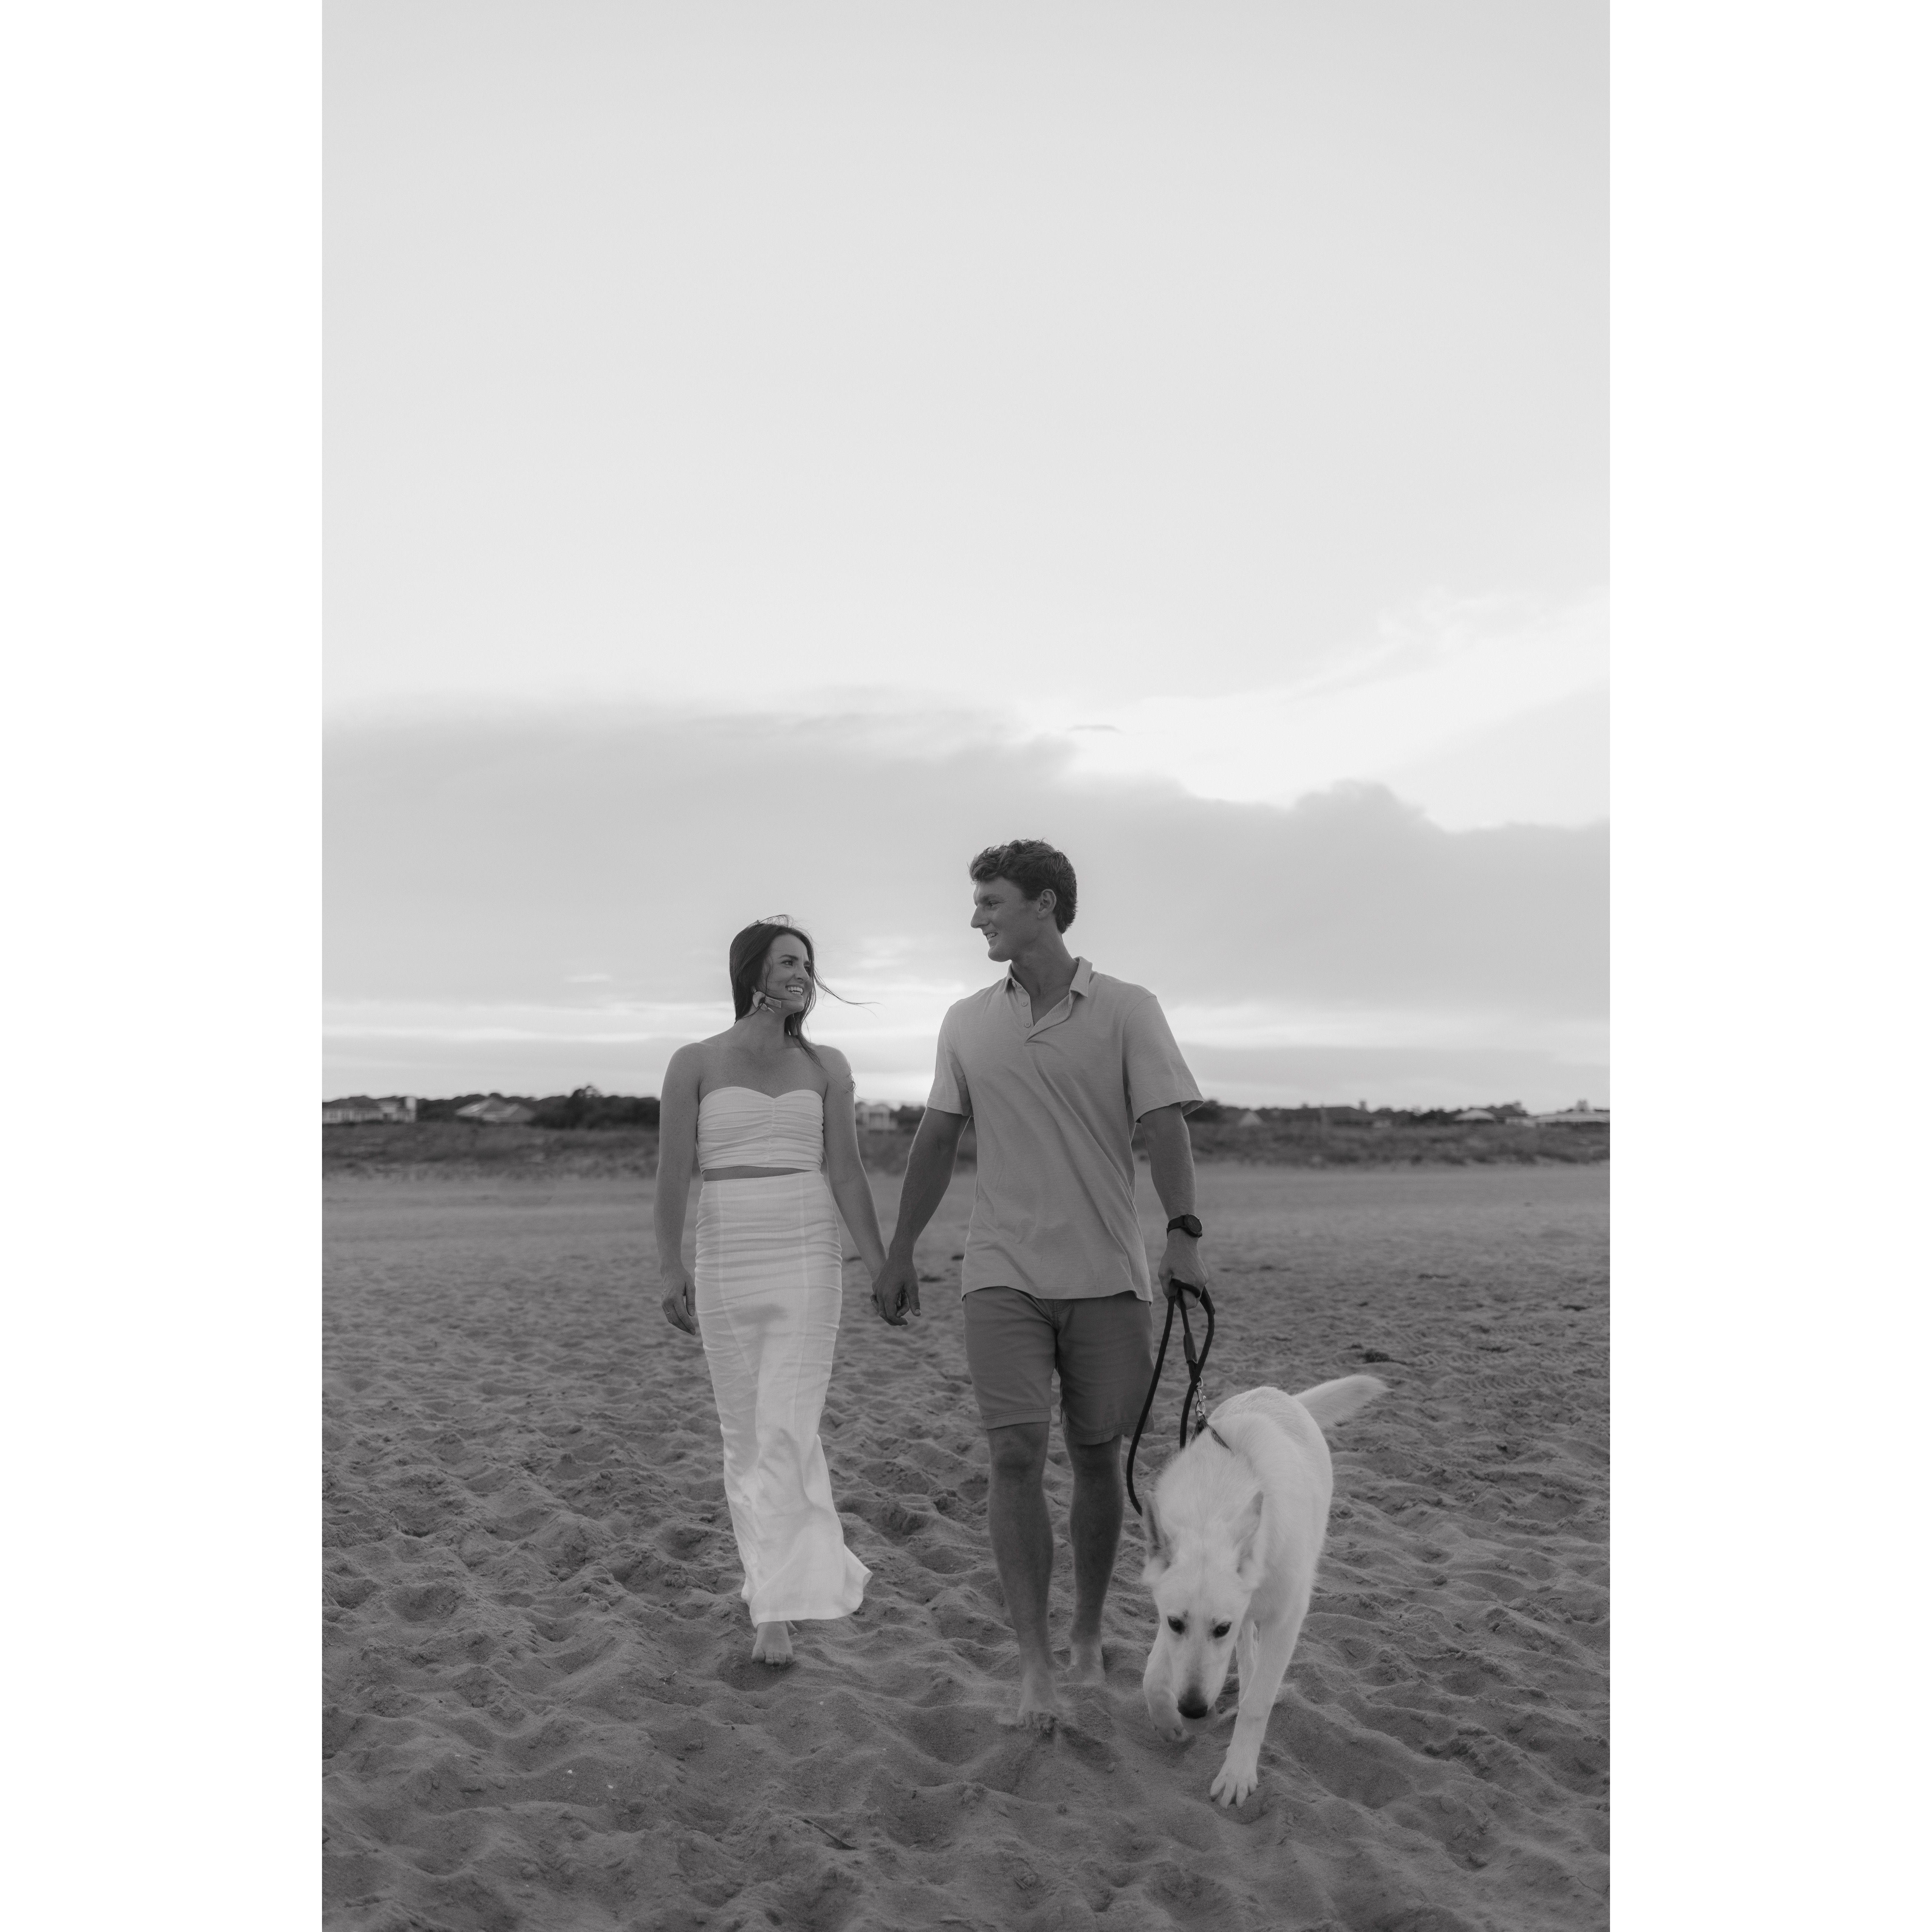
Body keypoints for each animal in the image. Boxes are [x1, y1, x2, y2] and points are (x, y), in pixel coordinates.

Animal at [1140, 1376, 1386, 1805]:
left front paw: (1237, 1773)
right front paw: (1169, 1723)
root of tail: (1277, 1394)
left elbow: (1259, 1703)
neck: (1214, 1504)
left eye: (1220, 1629)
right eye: (1175, 1624)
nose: (1193, 1710)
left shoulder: (1286, 1620)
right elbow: (1153, 1676)